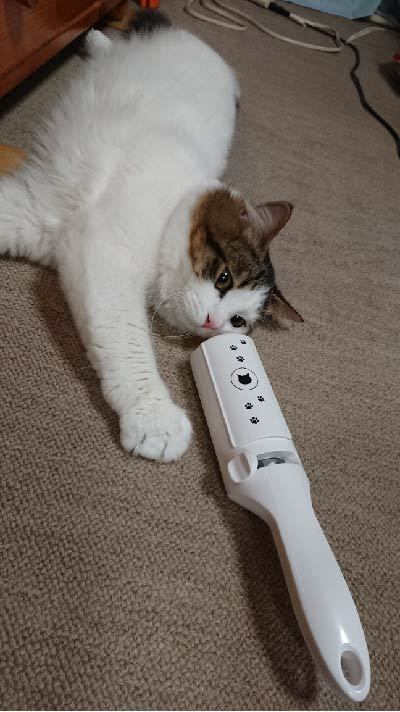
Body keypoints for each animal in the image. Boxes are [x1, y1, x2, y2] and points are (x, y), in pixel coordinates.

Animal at [0, 10, 302, 462]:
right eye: (223, 278)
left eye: (237, 322)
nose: (213, 323)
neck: (173, 202)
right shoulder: (105, 253)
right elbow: (128, 345)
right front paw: (155, 419)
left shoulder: (35, 212)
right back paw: (93, 35)